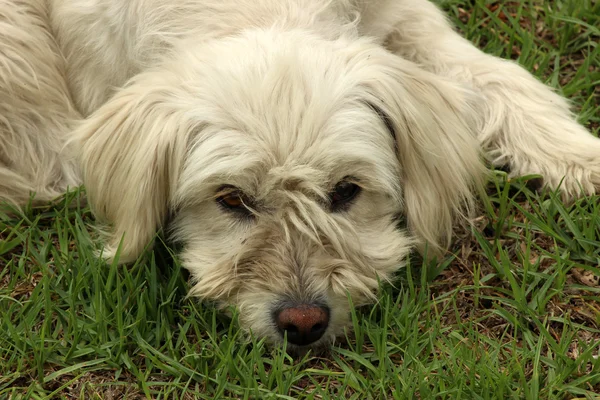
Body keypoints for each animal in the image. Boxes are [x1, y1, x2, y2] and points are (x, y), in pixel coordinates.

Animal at [1, 0, 600, 350]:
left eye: (346, 191)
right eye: (230, 199)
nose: (303, 324)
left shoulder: (403, 15)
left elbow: (497, 73)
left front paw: (575, 154)